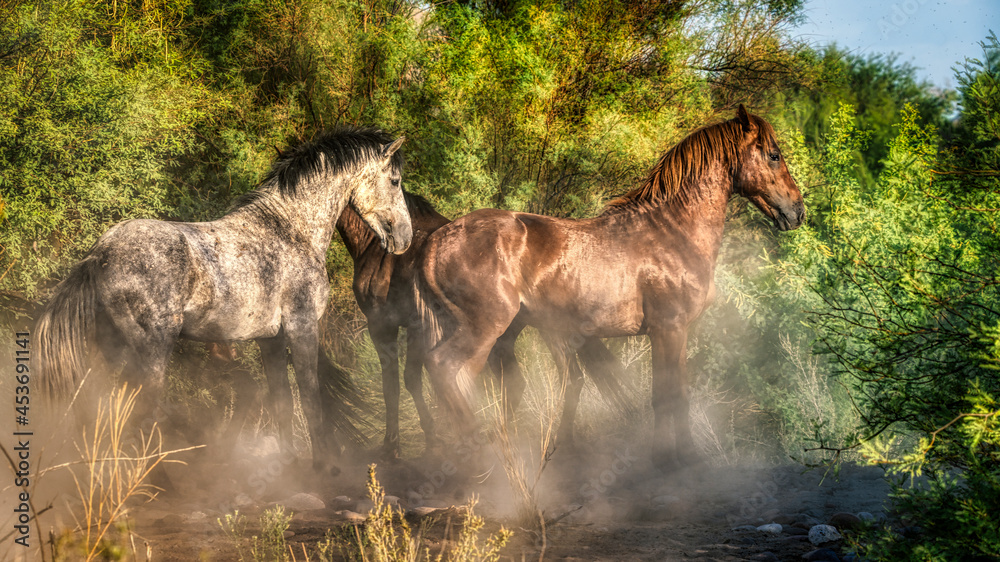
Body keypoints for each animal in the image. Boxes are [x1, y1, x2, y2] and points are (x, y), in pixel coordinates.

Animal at [35, 127, 412, 473]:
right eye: (394, 181)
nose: (405, 238)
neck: (291, 230)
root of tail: (100, 253)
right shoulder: (302, 327)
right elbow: (310, 397)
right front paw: (324, 465)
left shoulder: (271, 339)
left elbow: (282, 400)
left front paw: (290, 464)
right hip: (151, 349)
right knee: (145, 411)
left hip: (116, 352)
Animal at [336, 192, 630, 457]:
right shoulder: (413, 328)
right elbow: (410, 381)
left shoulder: (384, 325)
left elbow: (397, 385)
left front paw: (397, 445)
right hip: (513, 336)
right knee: (538, 381)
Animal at [414, 106, 805, 468]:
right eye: (774, 154)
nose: (797, 211)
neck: (671, 231)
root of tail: (435, 241)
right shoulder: (669, 329)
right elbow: (670, 397)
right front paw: (677, 458)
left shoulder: (672, 333)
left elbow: (671, 394)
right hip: (482, 330)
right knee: (446, 369)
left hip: (506, 334)